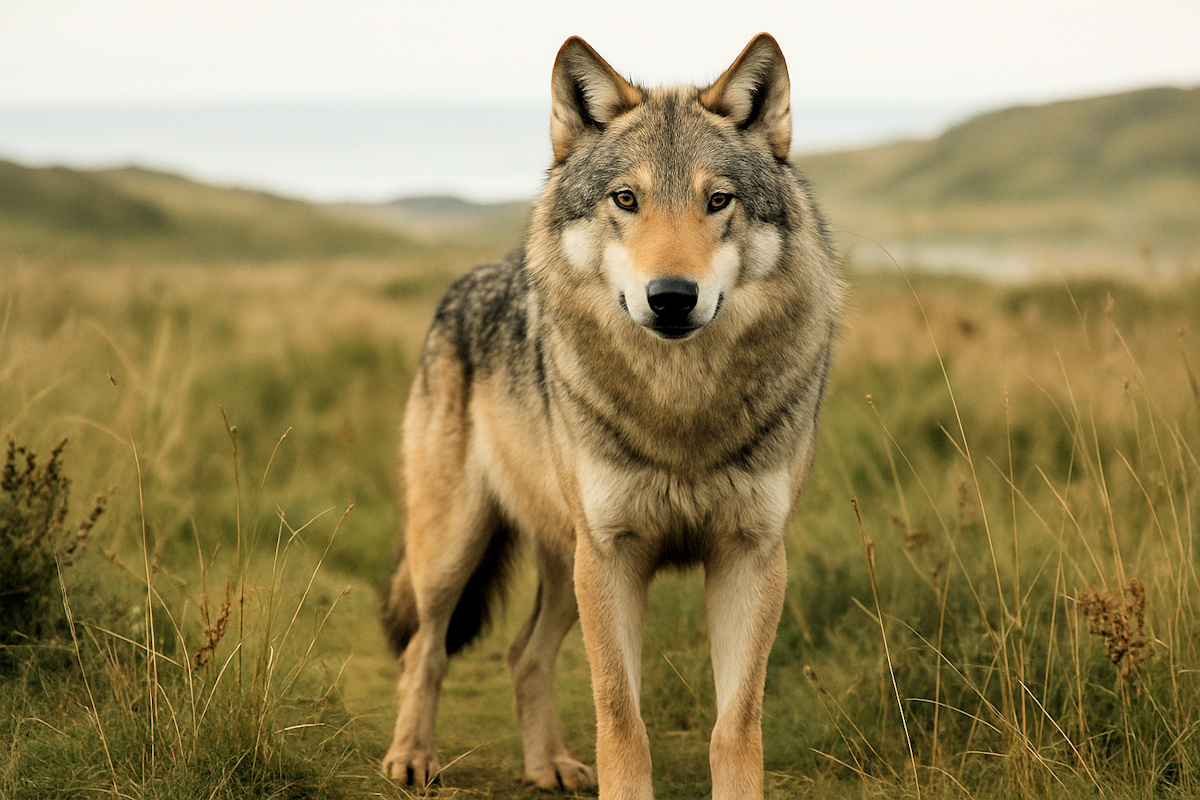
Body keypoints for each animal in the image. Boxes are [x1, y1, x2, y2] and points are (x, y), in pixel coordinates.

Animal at [381, 33, 844, 799]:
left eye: (718, 200)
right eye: (626, 199)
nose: (672, 296)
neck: (680, 410)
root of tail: (466, 281)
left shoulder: (750, 556)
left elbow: (736, 727)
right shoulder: (613, 556)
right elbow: (621, 719)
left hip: (565, 564)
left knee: (522, 654)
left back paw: (548, 766)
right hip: (460, 551)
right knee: (427, 648)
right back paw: (412, 756)